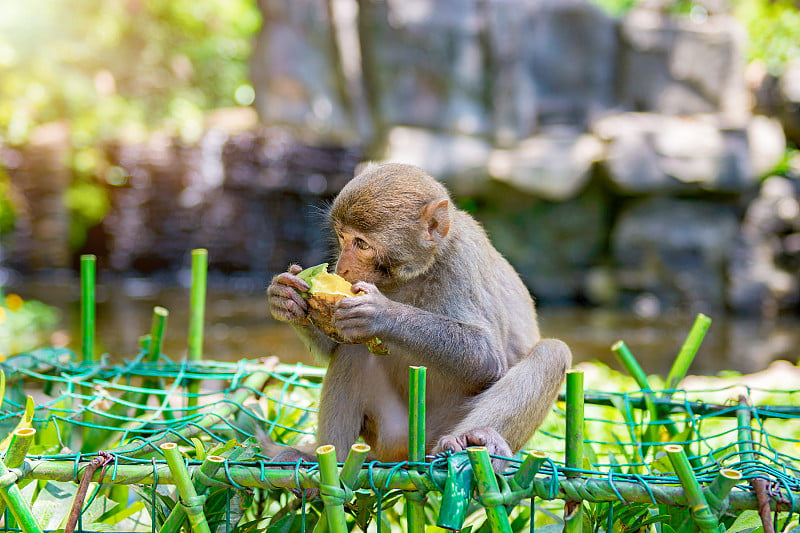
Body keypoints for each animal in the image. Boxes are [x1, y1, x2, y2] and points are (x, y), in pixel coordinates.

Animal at [266, 162, 572, 470]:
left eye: (362, 244)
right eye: (342, 237)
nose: (342, 268)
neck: (414, 273)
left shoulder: (461, 263)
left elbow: (488, 359)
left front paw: (381, 314)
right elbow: (336, 343)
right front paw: (286, 297)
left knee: (553, 353)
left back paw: (478, 442)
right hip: (391, 435)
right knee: (352, 352)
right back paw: (330, 457)